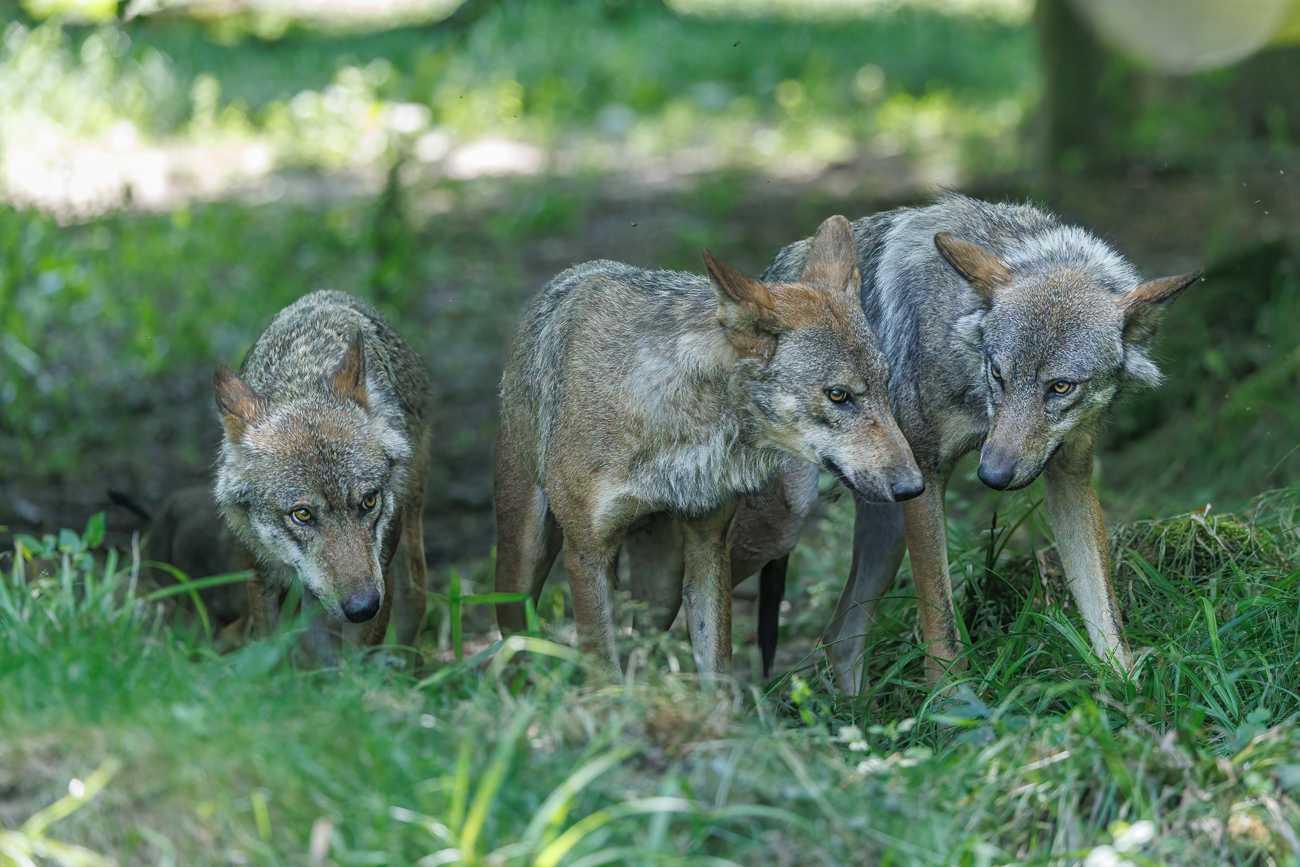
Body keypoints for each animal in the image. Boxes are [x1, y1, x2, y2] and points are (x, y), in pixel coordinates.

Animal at [212, 291, 431, 659]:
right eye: (302, 514)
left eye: (369, 501)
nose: (362, 607)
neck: (301, 379)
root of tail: (328, 294)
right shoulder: (260, 578)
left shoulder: (382, 576)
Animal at [493, 215, 923, 681]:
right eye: (839, 395)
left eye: (884, 385)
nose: (913, 487)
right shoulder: (587, 555)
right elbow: (606, 674)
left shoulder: (707, 544)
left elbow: (716, 666)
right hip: (521, 567)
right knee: (516, 649)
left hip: (662, 585)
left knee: (641, 648)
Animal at [750, 192, 1201, 691]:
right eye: (998, 373)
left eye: (1060, 387)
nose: (992, 476)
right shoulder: (926, 480)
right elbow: (941, 626)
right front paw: (953, 702)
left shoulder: (1071, 480)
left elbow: (1105, 613)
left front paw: (1126, 691)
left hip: (886, 534)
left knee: (840, 639)